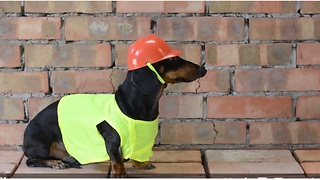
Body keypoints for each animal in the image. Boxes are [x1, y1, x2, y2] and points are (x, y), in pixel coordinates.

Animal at [23, 34, 208, 177]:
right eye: (173, 58)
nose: (204, 70)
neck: (129, 103)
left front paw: (140, 164)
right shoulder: (111, 137)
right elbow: (116, 158)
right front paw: (120, 172)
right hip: (41, 145)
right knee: (31, 161)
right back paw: (55, 163)